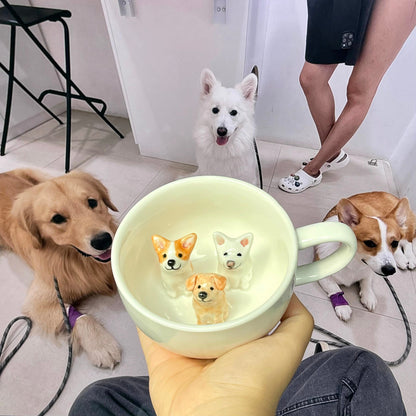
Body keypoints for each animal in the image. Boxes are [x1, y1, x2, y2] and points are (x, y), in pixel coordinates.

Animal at [0, 168, 120, 368]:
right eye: (57, 219)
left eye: (92, 202)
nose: (103, 240)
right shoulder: (38, 303)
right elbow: (80, 317)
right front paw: (101, 344)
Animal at [316, 192, 414, 322]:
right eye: (370, 243)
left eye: (394, 243)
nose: (390, 270)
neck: (354, 261)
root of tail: (386, 193)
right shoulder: (322, 274)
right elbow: (334, 288)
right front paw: (343, 307)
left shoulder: (369, 272)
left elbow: (366, 281)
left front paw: (369, 297)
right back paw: (402, 260)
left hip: (405, 230)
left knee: (408, 242)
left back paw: (409, 259)